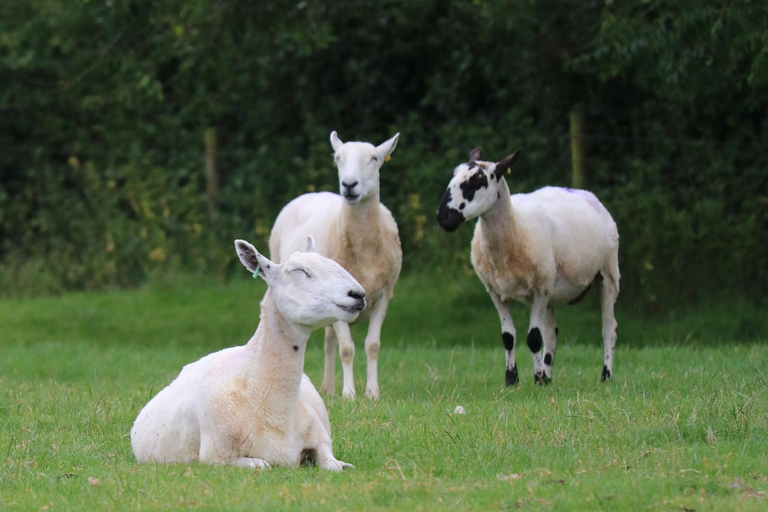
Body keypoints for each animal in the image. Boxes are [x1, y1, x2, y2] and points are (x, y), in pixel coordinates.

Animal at [130, 238, 368, 470]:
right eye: (299, 270)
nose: (358, 294)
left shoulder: (321, 440)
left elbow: (336, 466)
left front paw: (343, 464)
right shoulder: (216, 456)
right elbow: (261, 465)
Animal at [268, 131, 402, 400]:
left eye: (374, 158)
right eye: (338, 158)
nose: (349, 185)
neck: (365, 247)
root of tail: (314, 193)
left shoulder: (384, 294)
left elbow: (373, 345)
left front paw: (372, 393)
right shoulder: (340, 296)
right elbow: (347, 349)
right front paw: (349, 394)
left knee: (329, 341)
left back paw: (328, 387)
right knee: (333, 343)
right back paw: (330, 389)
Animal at [436, 146, 620, 386]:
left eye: (478, 180)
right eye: (454, 175)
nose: (443, 217)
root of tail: (585, 193)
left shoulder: (539, 290)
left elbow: (533, 338)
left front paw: (537, 378)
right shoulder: (496, 291)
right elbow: (508, 337)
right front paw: (512, 379)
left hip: (607, 273)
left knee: (609, 330)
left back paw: (605, 375)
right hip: (551, 286)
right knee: (551, 333)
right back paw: (549, 377)